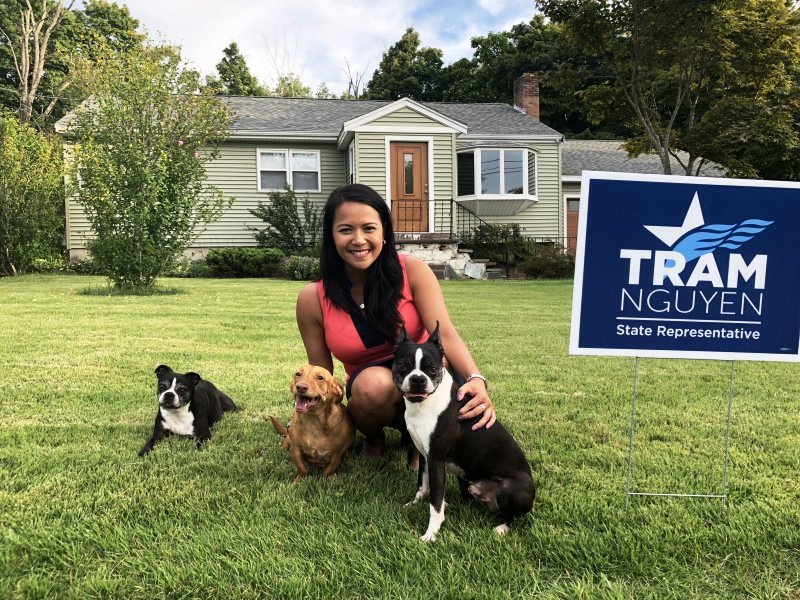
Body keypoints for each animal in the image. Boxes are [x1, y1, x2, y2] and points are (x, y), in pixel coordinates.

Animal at [392, 323, 535, 542]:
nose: (417, 379)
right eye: (403, 365)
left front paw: (430, 534)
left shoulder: (436, 459)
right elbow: (423, 486)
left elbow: (435, 502)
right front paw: (413, 504)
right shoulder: (425, 455)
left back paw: (503, 527)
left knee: (513, 515)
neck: (424, 404)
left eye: (432, 369)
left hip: (512, 489)